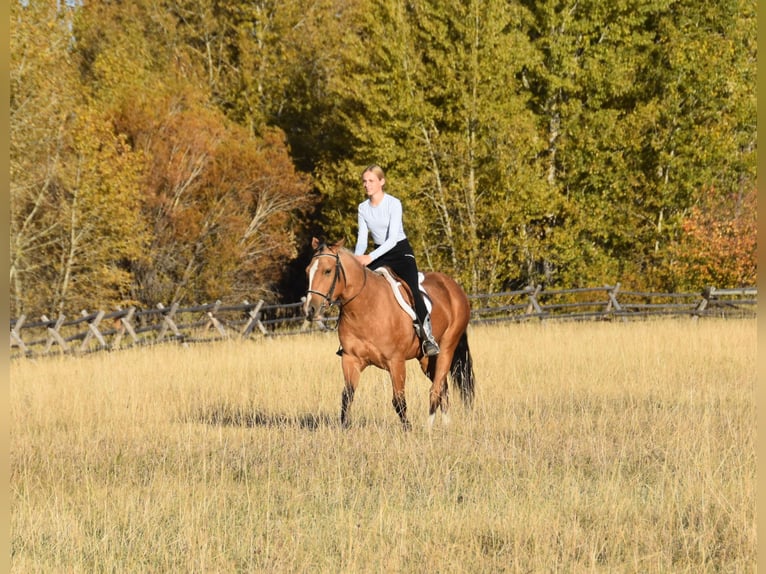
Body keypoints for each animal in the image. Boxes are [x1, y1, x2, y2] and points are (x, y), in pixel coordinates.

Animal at [303, 237, 475, 430]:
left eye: (327, 271)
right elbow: (347, 397)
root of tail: (453, 287)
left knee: (436, 388)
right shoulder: (350, 360)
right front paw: (344, 429)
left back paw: (428, 427)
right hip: (426, 358)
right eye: (308, 271)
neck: (367, 307)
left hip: (447, 348)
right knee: (443, 387)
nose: (310, 310)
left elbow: (399, 401)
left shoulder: (396, 362)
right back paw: (446, 424)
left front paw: (408, 430)